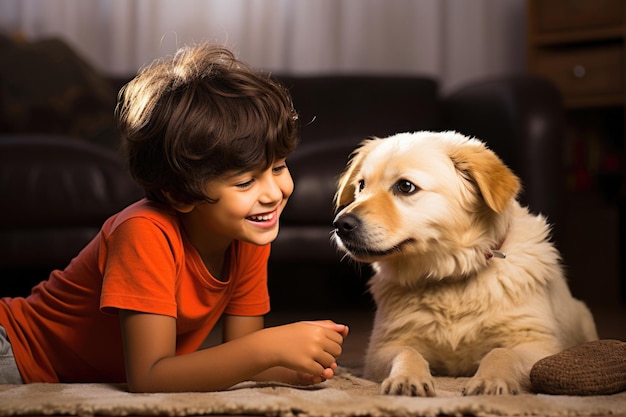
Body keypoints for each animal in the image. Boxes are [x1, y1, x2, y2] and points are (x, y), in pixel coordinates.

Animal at [332, 131, 596, 396]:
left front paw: (490, 380)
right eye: (361, 185)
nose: (341, 225)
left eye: (405, 186)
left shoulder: (538, 344)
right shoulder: (383, 348)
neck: (451, 276)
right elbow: (408, 352)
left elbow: (501, 352)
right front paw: (407, 378)